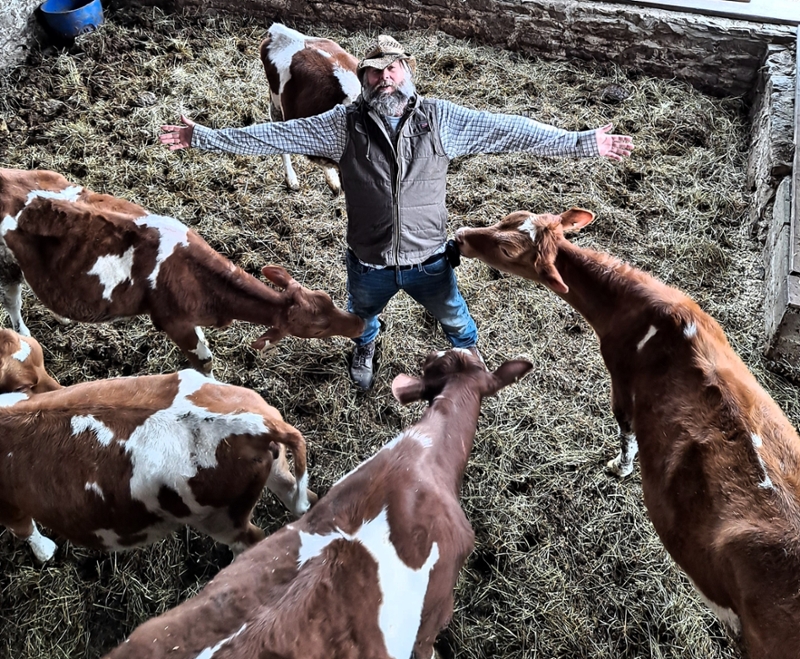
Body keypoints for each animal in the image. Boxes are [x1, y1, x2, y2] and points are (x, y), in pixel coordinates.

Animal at [0, 168, 365, 375]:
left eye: (327, 298)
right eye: (317, 329)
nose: (360, 323)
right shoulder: (174, 321)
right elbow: (204, 363)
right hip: (6, 262)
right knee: (12, 299)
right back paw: (27, 335)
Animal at [0, 368, 314, 563]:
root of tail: (255, 424)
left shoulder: (10, 507)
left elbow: (25, 529)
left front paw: (45, 552)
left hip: (220, 516)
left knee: (251, 540)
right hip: (273, 466)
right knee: (301, 497)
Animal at [455, 208, 800, 659]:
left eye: (506, 249)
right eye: (509, 217)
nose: (460, 236)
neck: (638, 308)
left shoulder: (620, 378)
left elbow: (626, 431)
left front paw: (618, 468)